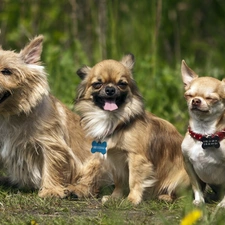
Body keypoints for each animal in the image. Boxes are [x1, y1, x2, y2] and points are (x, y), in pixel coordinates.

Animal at [0, 34, 103, 197]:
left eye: (7, 71)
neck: (10, 114)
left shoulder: (51, 144)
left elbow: (51, 167)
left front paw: (51, 190)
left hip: (99, 158)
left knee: (91, 178)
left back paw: (77, 189)